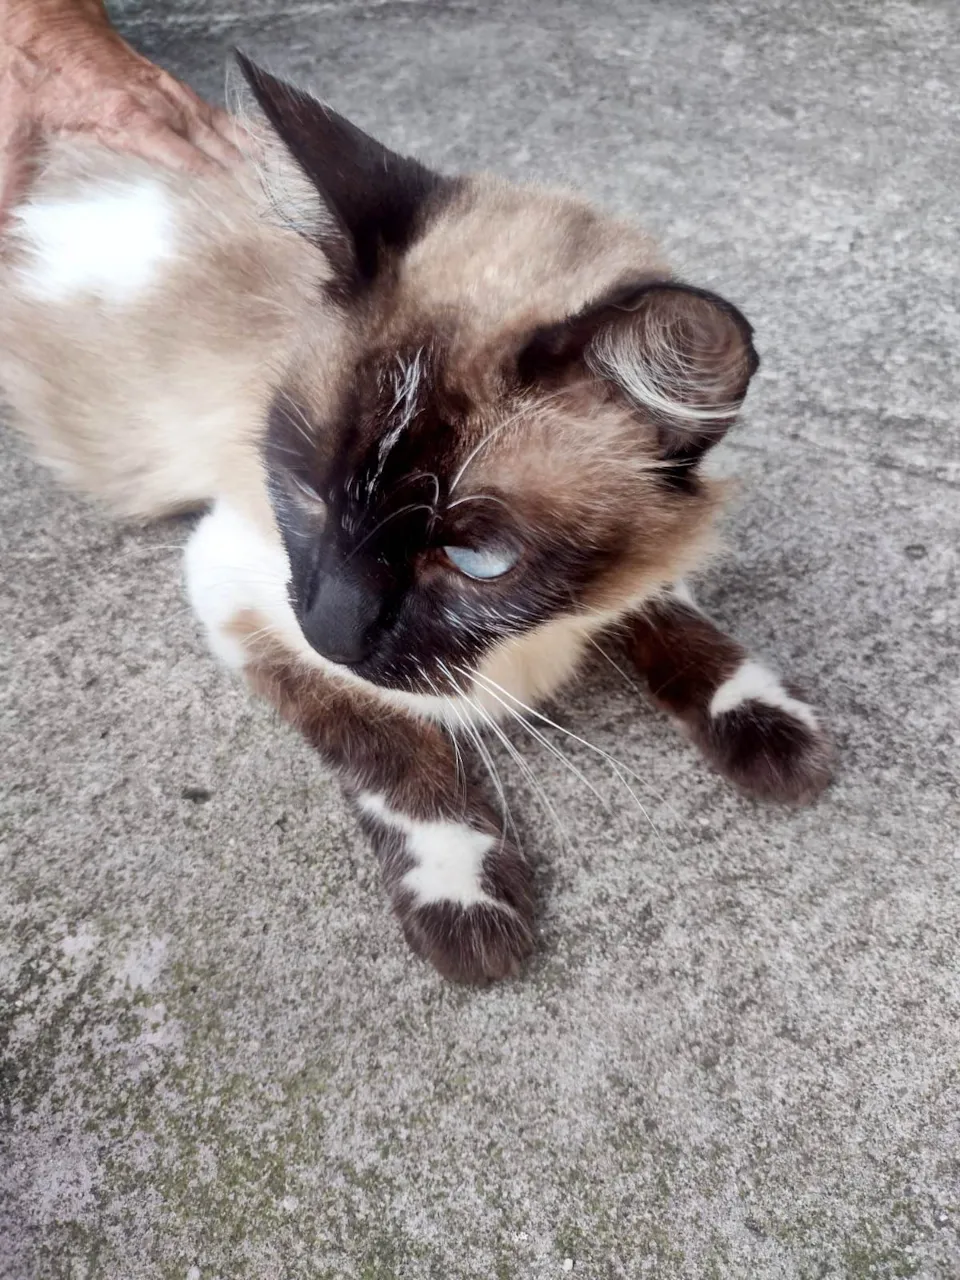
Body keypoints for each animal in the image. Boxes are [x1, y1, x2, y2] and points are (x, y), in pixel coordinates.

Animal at [0, 56, 831, 983]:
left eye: (477, 561)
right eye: (309, 493)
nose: (328, 630)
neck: (535, 639)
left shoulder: (638, 564)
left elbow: (667, 608)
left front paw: (767, 723)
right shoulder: (238, 586)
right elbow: (387, 742)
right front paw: (463, 894)